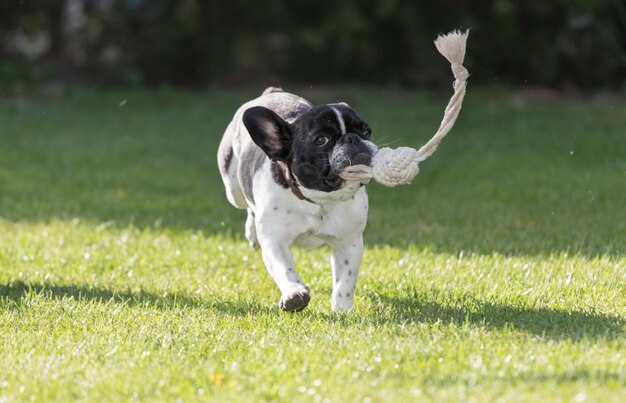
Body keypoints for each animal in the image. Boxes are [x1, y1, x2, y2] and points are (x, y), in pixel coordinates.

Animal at [217, 87, 378, 310]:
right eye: (321, 141)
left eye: (366, 131)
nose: (352, 138)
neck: (319, 200)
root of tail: (273, 91)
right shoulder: (275, 242)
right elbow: (284, 268)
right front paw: (294, 293)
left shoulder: (349, 243)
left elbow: (345, 281)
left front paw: (342, 310)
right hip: (233, 189)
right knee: (247, 206)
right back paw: (252, 234)